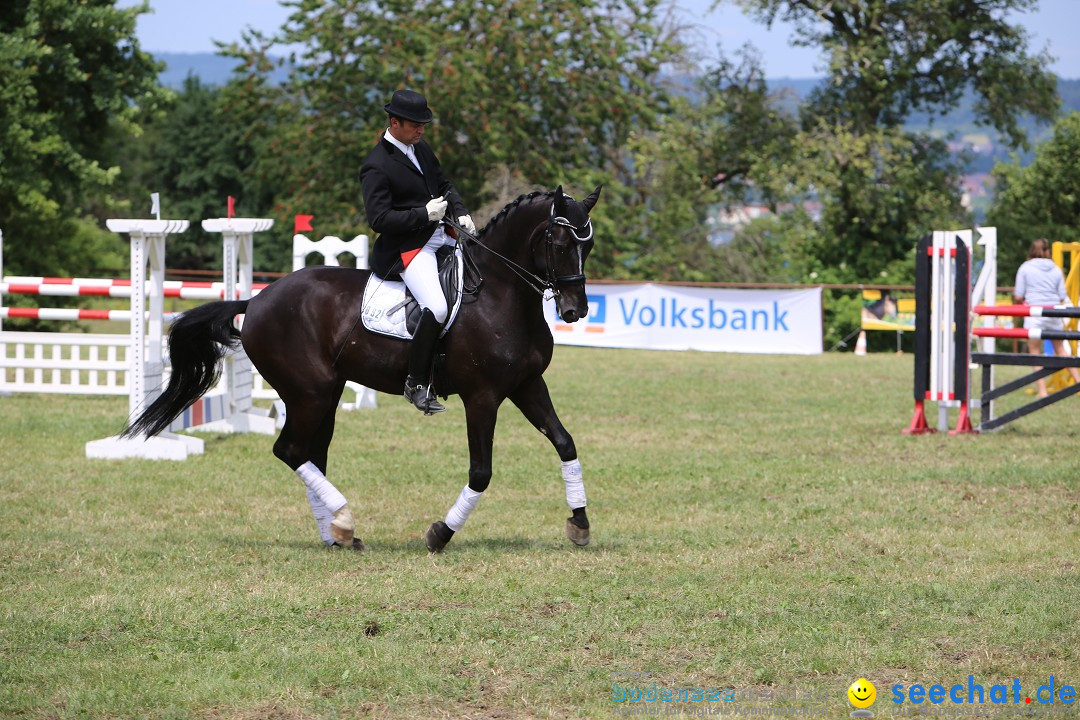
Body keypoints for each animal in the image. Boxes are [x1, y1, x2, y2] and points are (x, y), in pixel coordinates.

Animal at [125, 185, 604, 552]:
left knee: (312, 455)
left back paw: (336, 534)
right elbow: (481, 472)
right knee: (291, 451)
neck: (501, 295)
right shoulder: (482, 397)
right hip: (311, 392)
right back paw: (344, 522)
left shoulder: (527, 384)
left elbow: (565, 443)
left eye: (589, 246)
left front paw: (580, 524)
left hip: (325, 395)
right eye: (561, 245)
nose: (575, 310)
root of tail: (257, 300)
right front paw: (440, 534)